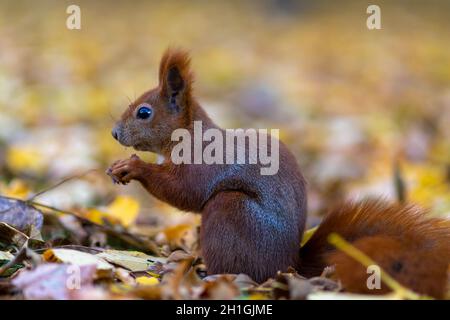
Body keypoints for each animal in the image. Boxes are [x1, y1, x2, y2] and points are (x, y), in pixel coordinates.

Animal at [109, 48, 450, 298]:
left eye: (144, 113)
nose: (114, 133)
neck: (188, 136)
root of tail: (288, 266)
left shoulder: (203, 163)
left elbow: (185, 192)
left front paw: (133, 166)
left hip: (230, 209)